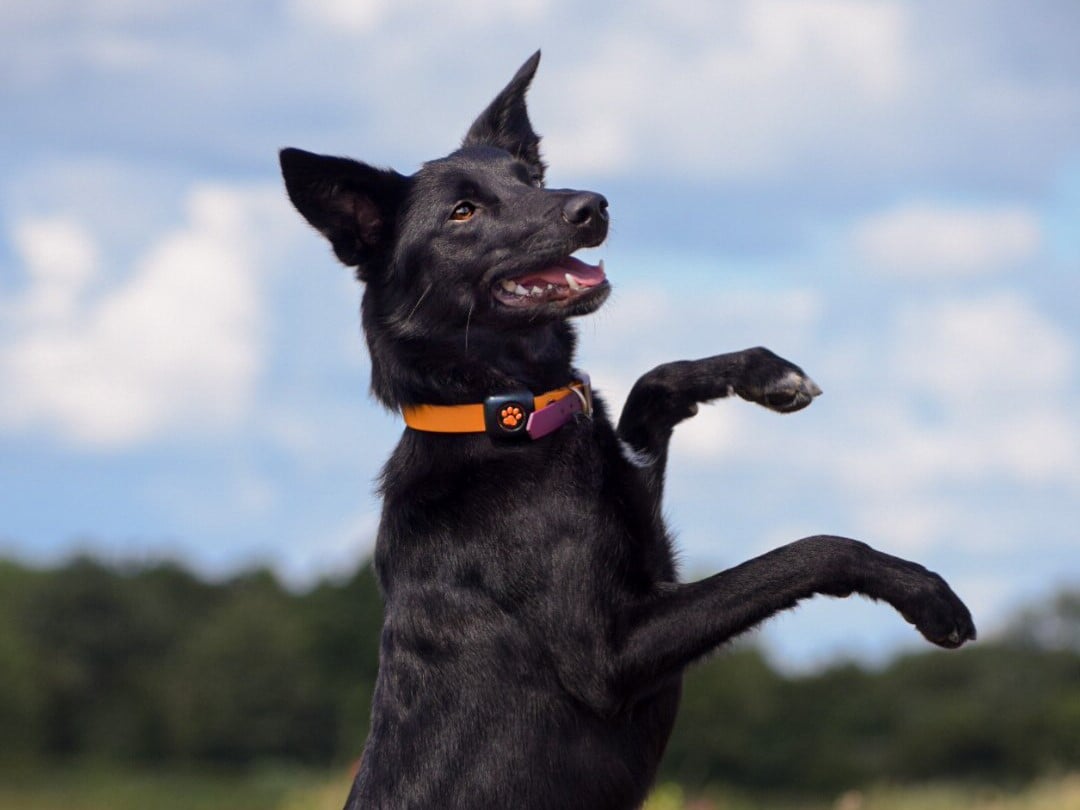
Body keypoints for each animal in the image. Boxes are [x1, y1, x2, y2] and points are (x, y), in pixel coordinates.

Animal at [280, 52, 980, 810]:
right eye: (463, 211)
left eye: (532, 179)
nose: (592, 206)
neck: (503, 417)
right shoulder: (611, 657)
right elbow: (810, 551)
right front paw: (925, 593)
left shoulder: (644, 530)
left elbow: (649, 390)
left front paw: (768, 373)